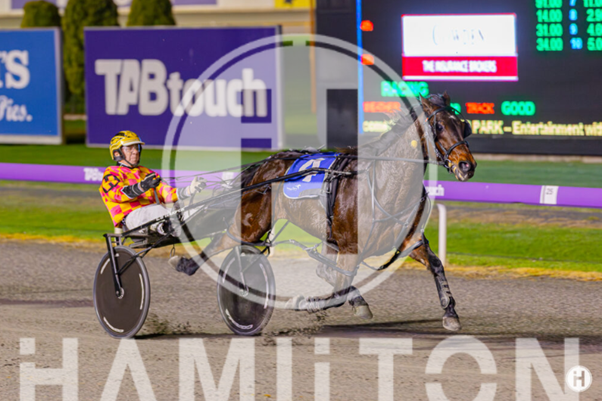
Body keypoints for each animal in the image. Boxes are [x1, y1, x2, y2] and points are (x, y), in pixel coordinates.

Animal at [193, 92, 476, 332]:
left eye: (463, 126)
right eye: (438, 127)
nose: (467, 165)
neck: (385, 185)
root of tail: (266, 164)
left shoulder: (407, 239)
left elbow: (436, 264)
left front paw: (450, 313)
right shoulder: (350, 246)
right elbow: (337, 292)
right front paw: (305, 302)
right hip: (253, 224)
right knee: (222, 241)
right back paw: (189, 264)